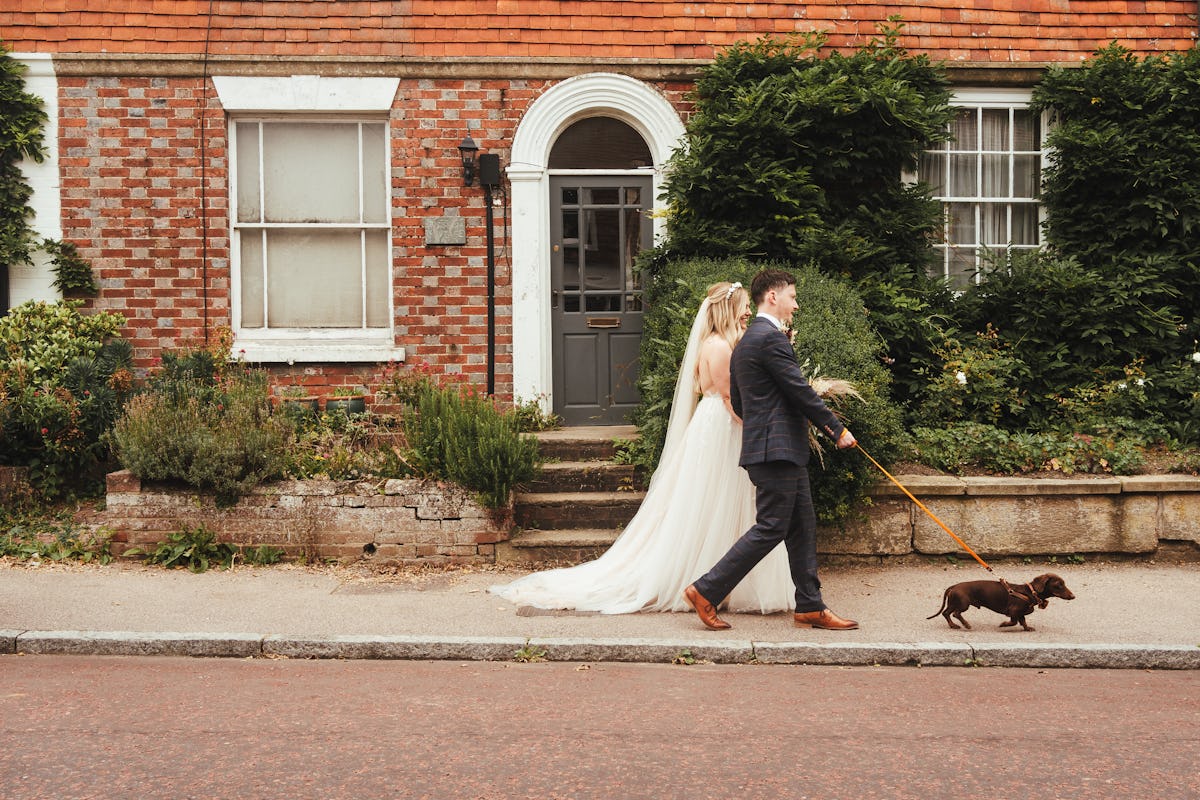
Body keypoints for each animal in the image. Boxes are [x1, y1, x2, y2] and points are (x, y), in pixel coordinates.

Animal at [926, 575, 1080, 633]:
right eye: (1059, 585)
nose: (1073, 596)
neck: (1030, 592)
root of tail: (953, 586)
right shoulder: (1013, 612)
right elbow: (1013, 622)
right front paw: (1003, 625)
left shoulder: (1021, 613)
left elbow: (1023, 621)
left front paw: (1027, 628)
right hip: (963, 604)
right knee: (956, 614)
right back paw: (966, 624)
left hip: (953, 603)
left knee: (946, 613)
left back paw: (953, 625)